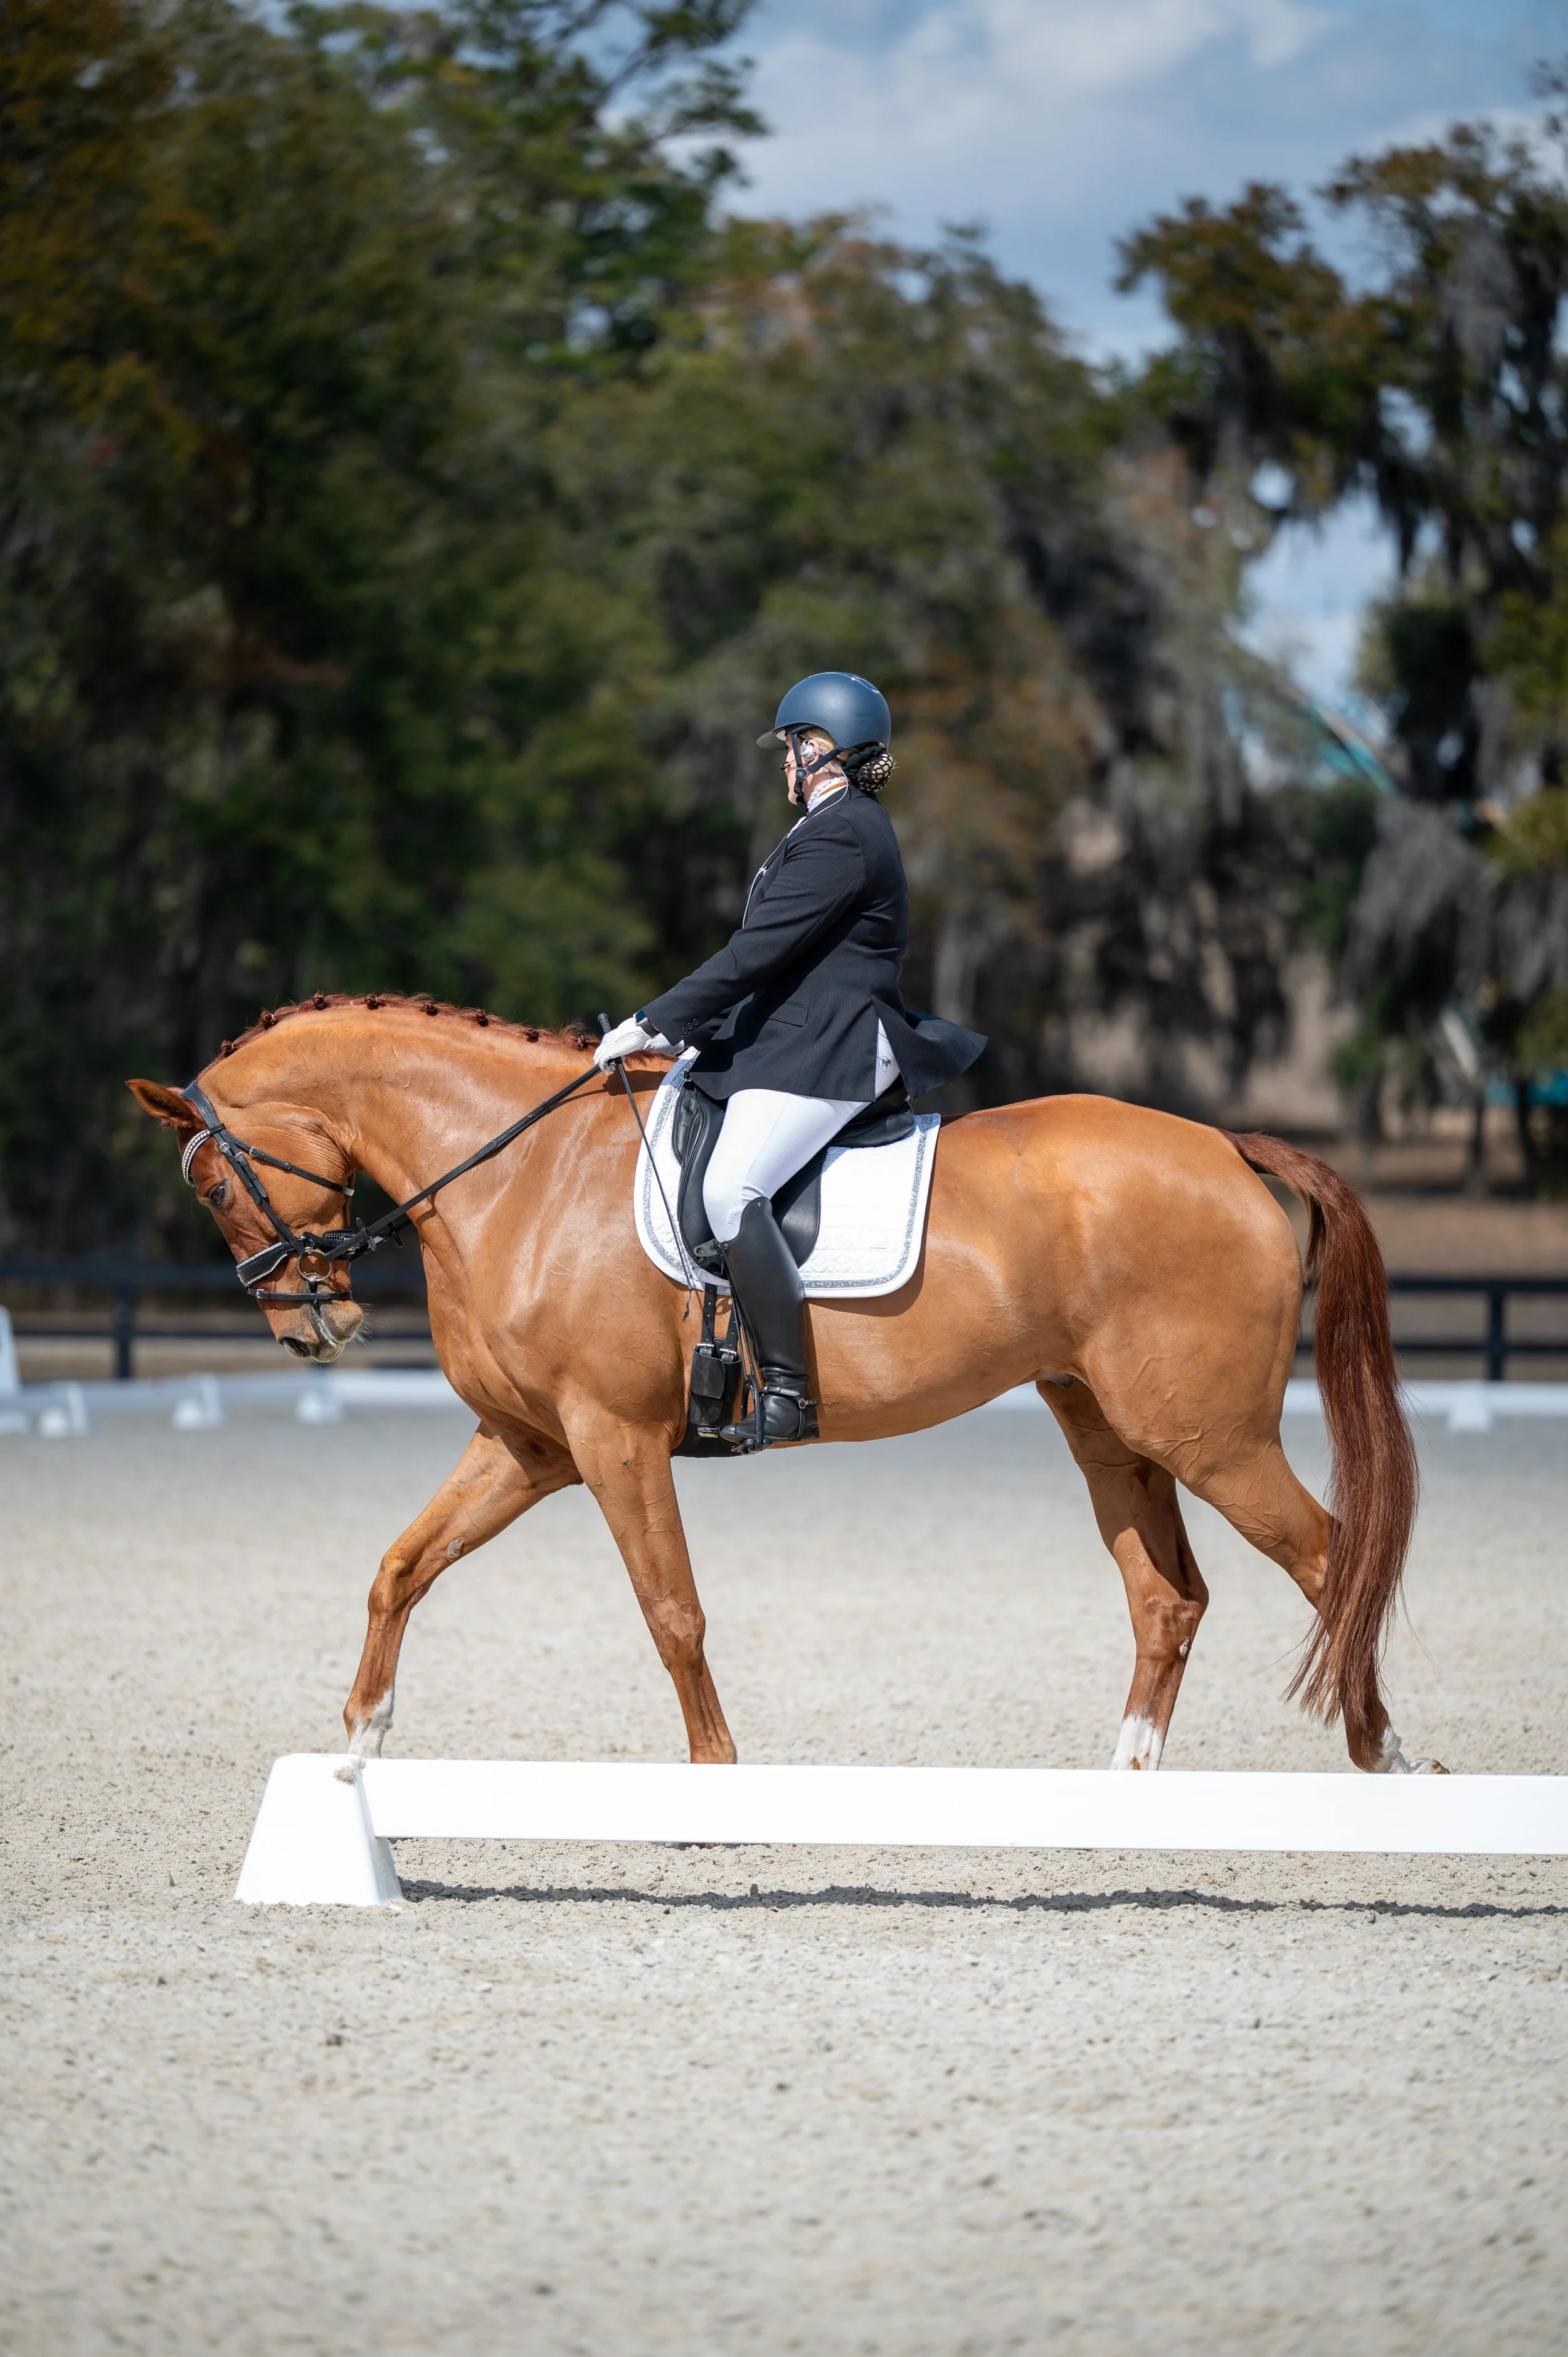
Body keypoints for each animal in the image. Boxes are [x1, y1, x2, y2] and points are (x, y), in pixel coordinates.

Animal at [129, 991, 1436, 1778]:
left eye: (212, 1184)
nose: (316, 1328)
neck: (520, 1176)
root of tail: (1226, 1145)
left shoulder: (612, 1440)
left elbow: (673, 1613)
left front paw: (719, 1781)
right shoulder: (528, 1445)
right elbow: (401, 1565)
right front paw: (357, 1745)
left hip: (1213, 1437)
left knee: (1334, 1559)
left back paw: (1387, 1757)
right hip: (1111, 1430)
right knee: (1168, 1600)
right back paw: (1130, 1787)